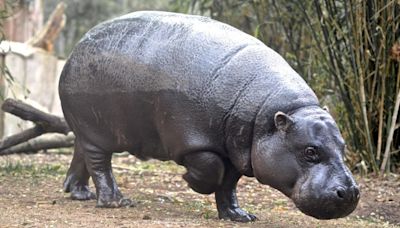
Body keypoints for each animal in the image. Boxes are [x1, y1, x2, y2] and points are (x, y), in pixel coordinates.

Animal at [59, 11, 360, 223]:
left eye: (344, 146)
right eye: (310, 151)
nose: (350, 192)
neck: (269, 114)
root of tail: (75, 49)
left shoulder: (237, 151)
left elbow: (228, 185)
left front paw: (240, 217)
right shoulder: (193, 142)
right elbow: (212, 170)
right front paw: (188, 180)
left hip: (87, 131)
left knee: (81, 154)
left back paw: (79, 193)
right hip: (97, 133)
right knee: (100, 164)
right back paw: (116, 201)